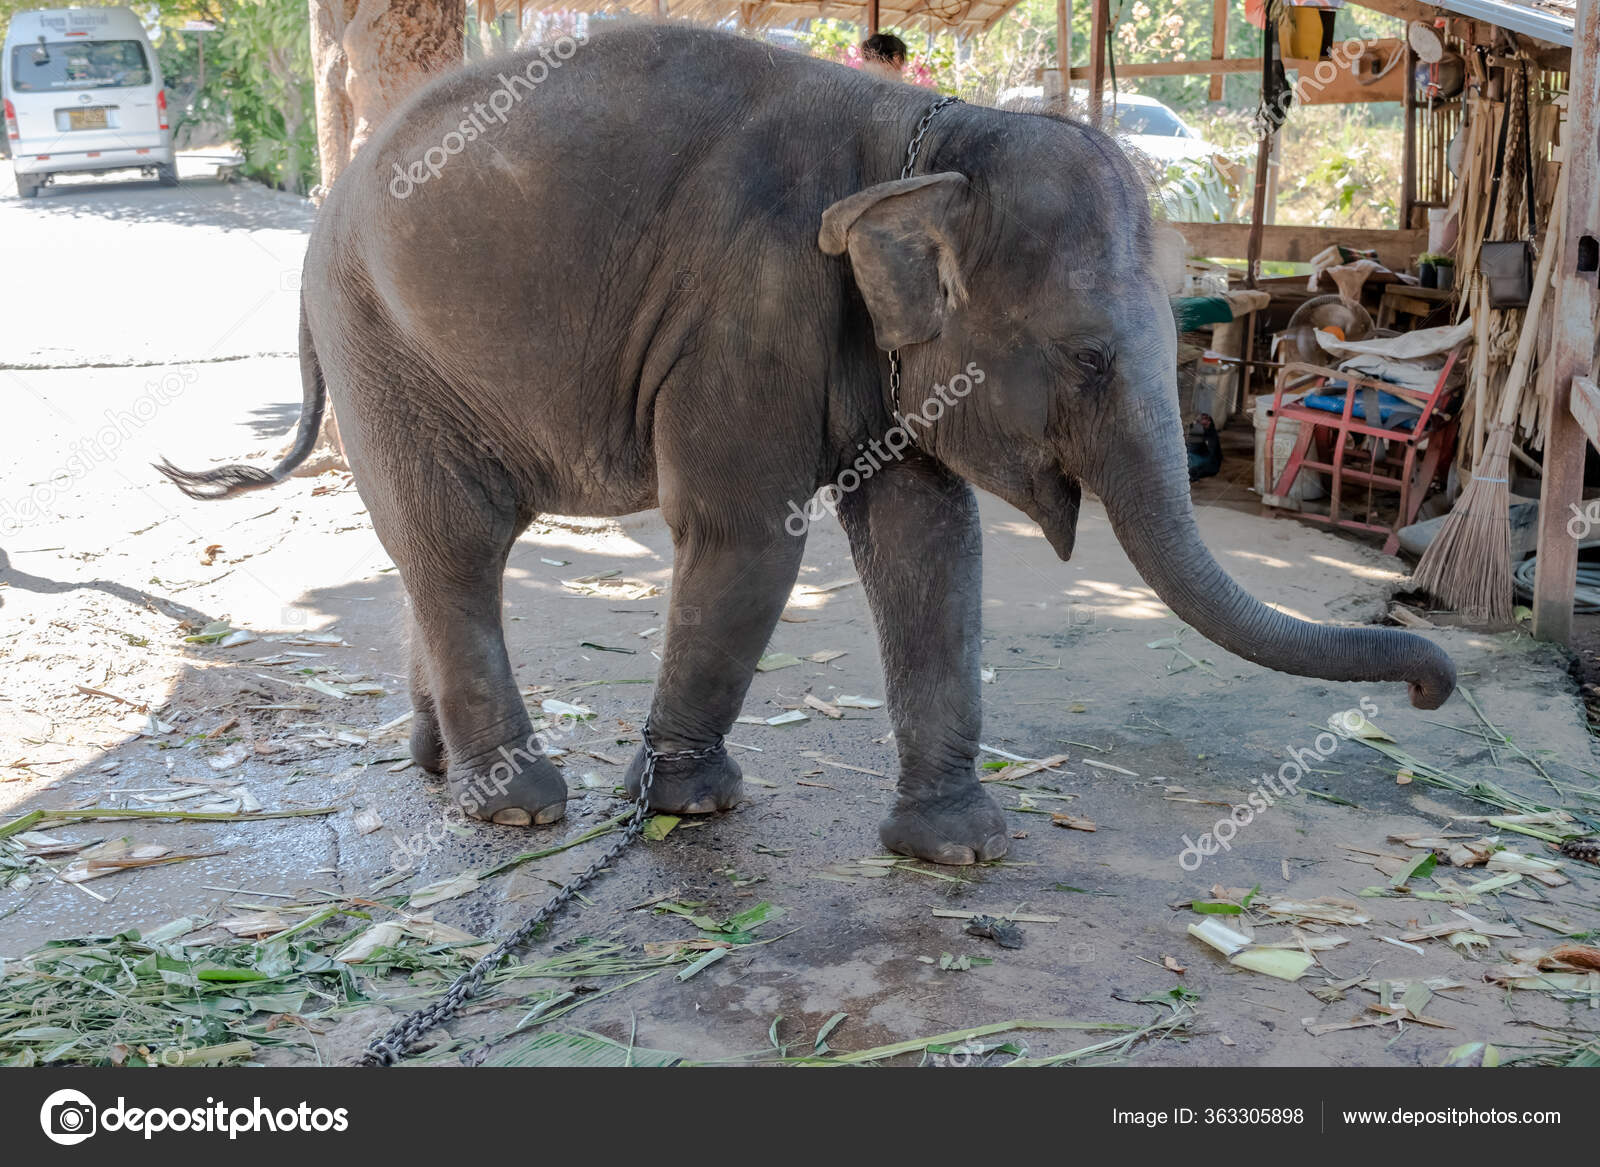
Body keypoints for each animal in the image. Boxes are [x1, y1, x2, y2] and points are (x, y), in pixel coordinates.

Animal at [159, 24, 1455, 865]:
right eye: (1090, 357)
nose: (1432, 682)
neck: (931, 140)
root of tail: (326, 209)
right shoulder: (749, 305)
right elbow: (744, 535)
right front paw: (689, 808)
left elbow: (929, 538)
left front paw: (960, 849)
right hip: (388, 347)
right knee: (457, 545)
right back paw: (518, 809)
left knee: (428, 559)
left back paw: (438, 767)